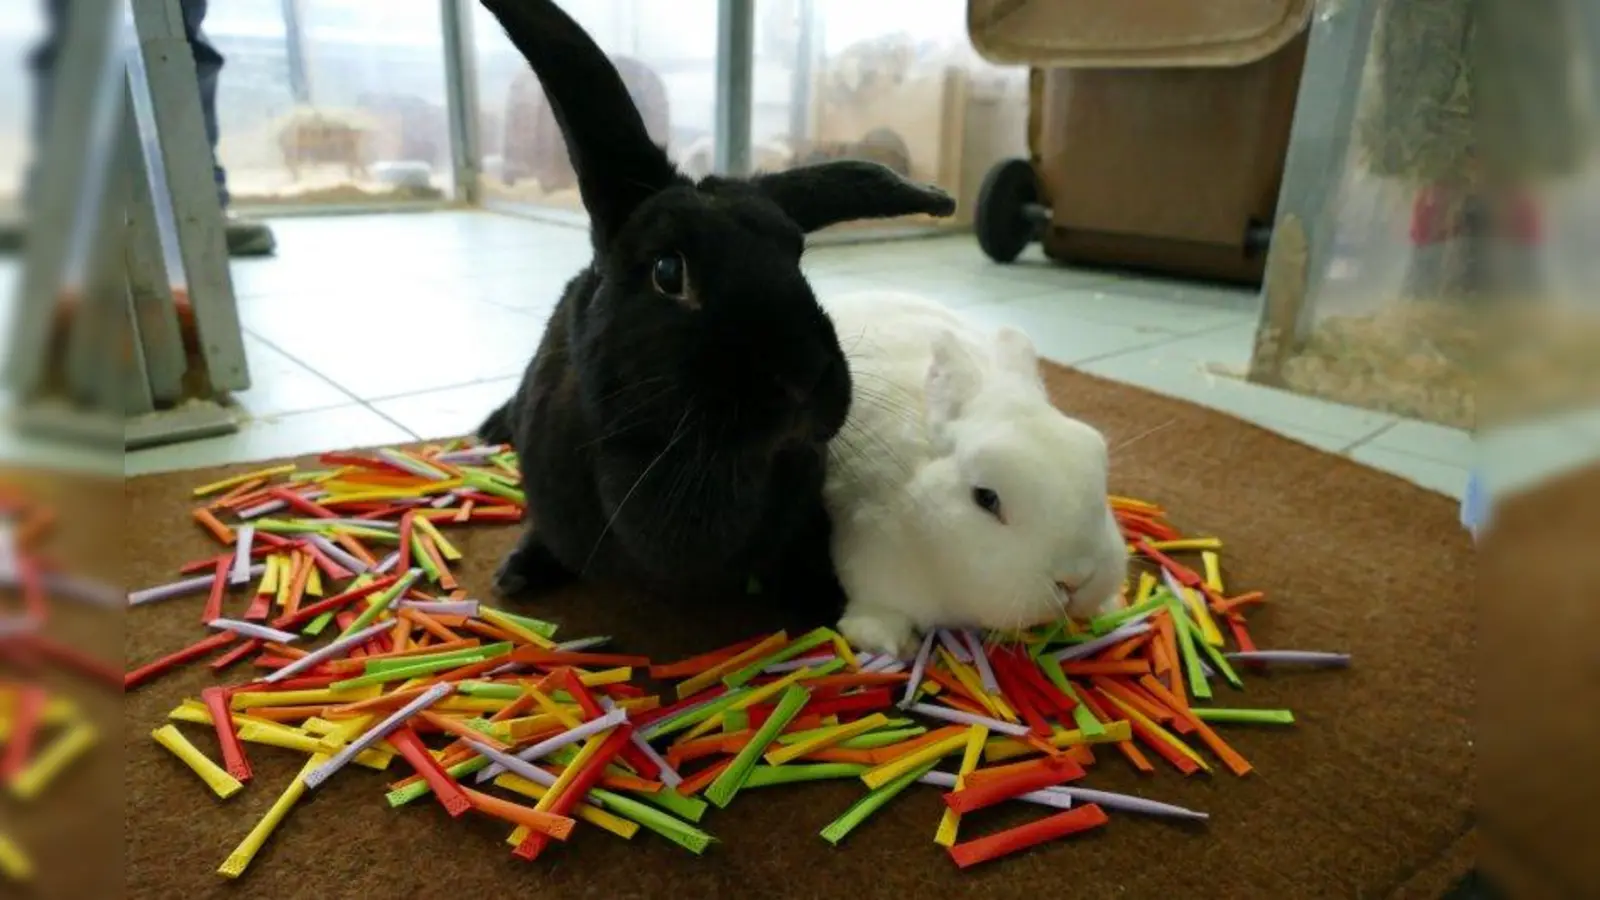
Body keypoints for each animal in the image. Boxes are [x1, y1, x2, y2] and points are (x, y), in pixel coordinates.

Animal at [473, 0, 957, 611]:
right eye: (668, 271)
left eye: (796, 255)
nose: (805, 378)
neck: (698, 466)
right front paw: (516, 571)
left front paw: (825, 599)